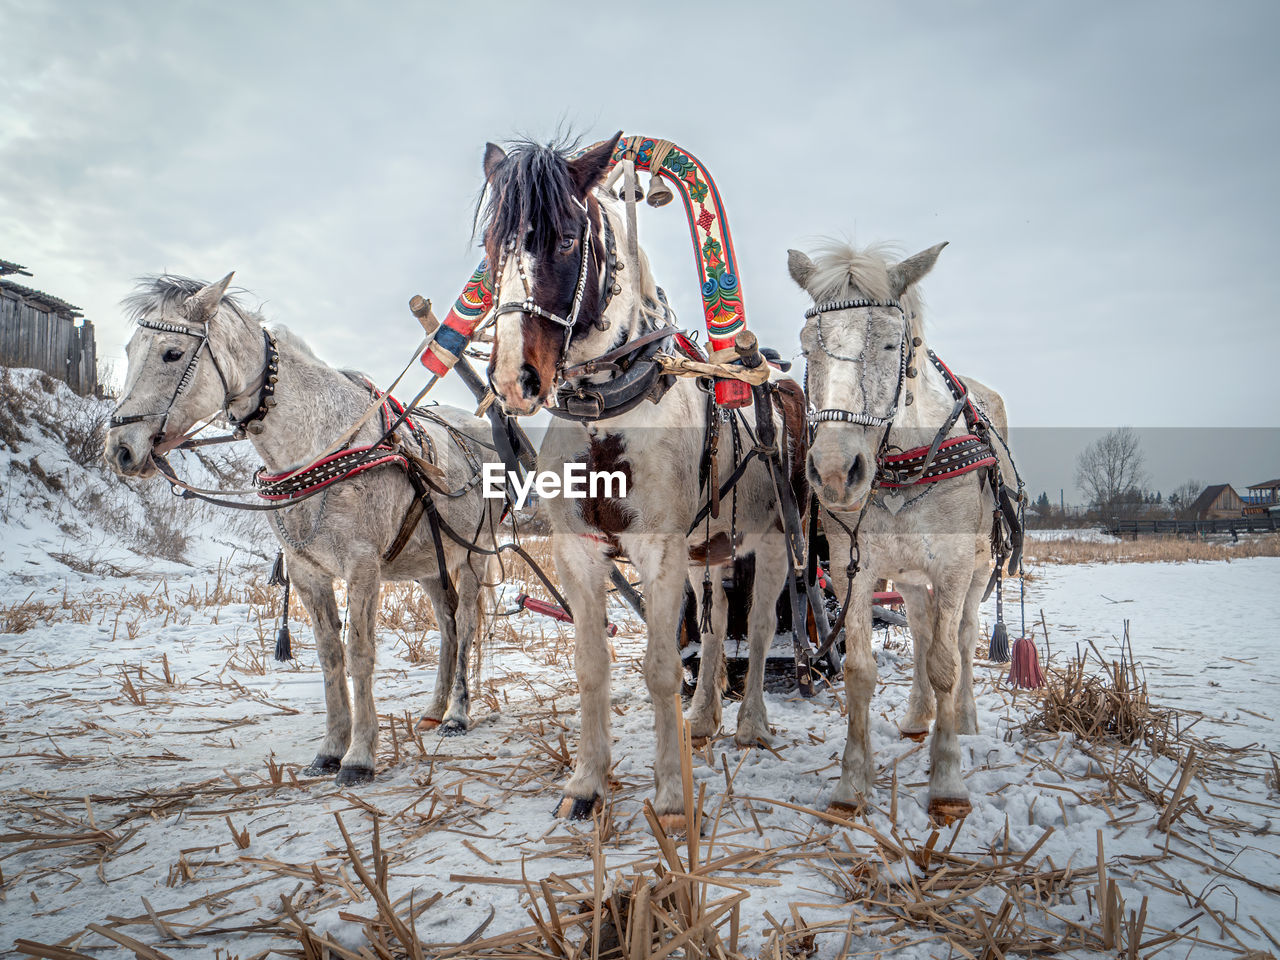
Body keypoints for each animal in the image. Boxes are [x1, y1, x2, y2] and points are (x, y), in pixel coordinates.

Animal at [103, 273, 499, 783]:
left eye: (172, 353)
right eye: (131, 350)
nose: (120, 449)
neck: (322, 445)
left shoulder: (362, 567)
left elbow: (359, 653)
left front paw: (360, 756)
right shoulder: (308, 571)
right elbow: (330, 655)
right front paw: (331, 750)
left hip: (472, 554)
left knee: (467, 623)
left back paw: (456, 714)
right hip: (431, 563)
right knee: (448, 626)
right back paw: (433, 710)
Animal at [481, 136, 808, 834]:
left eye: (567, 237)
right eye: (493, 246)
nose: (516, 377)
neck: (609, 413)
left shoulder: (659, 551)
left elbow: (660, 667)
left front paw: (671, 797)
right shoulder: (579, 552)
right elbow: (593, 666)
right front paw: (586, 782)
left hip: (770, 542)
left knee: (759, 627)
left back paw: (750, 725)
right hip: (705, 549)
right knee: (714, 627)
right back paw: (705, 717)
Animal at [783, 244, 1013, 824]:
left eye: (891, 342)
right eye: (806, 346)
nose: (836, 470)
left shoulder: (952, 567)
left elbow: (947, 664)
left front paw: (948, 781)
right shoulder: (855, 572)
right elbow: (861, 670)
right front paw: (852, 783)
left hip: (977, 570)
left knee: (963, 637)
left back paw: (965, 718)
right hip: (909, 576)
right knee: (926, 630)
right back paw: (916, 716)